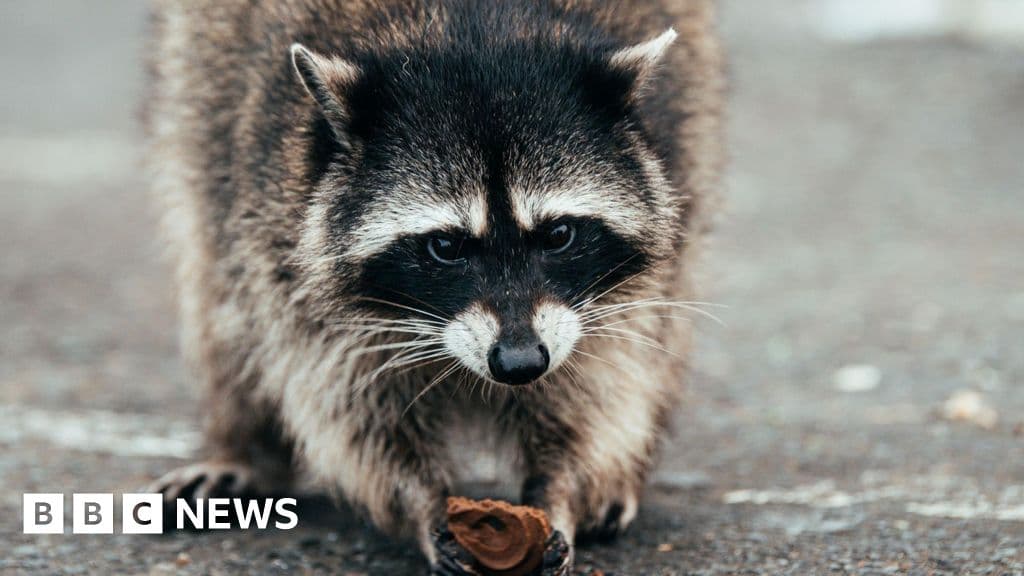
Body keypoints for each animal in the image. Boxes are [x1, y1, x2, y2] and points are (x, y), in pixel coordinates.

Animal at [146, 0, 723, 572]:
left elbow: (599, 385)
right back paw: (242, 445)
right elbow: (351, 409)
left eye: (559, 235)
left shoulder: (605, 296)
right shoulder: (282, 237)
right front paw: (423, 503)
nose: (520, 364)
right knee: (221, 294)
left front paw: (561, 489)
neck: (472, 31)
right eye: (445, 246)